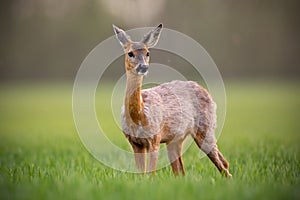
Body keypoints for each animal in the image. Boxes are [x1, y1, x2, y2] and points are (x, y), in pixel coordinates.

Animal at [112, 23, 232, 177]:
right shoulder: (135, 143)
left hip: (206, 127)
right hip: (175, 140)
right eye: (130, 53)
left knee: (223, 164)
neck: (139, 115)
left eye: (147, 53)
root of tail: (205, 91)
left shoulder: (155, 138)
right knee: (182, 171)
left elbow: (151, 174)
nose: (143, 67)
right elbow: (142, 174)